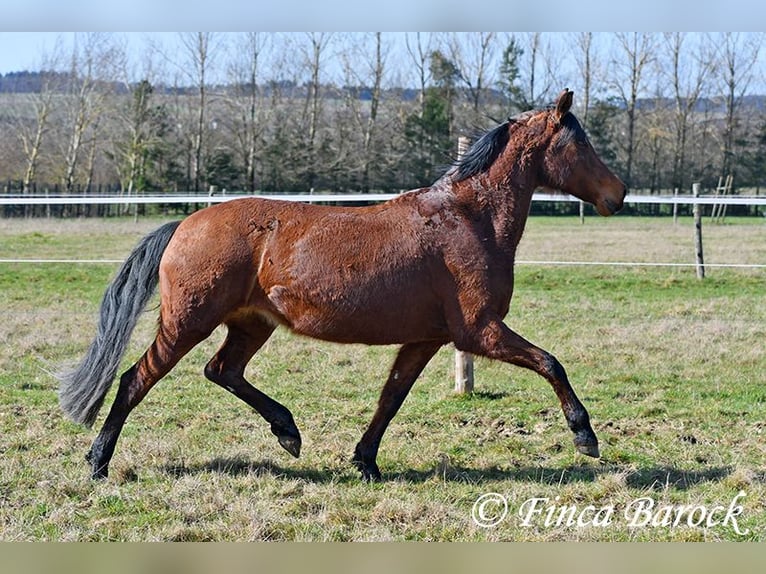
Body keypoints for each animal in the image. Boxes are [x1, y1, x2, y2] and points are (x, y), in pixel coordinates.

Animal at [58, 89, 626, 482]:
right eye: (580, 143)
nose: (618, 194)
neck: (469, 218)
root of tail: (185, 225)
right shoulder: (479, 331)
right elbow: (551, 363)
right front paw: (585, 436)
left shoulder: (426, 338)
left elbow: (391, 397)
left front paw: (365, 462)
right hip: (188, 321)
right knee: (135, 380)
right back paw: (98, 463)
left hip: (251, 324)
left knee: (222, 371)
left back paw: (287, 432)